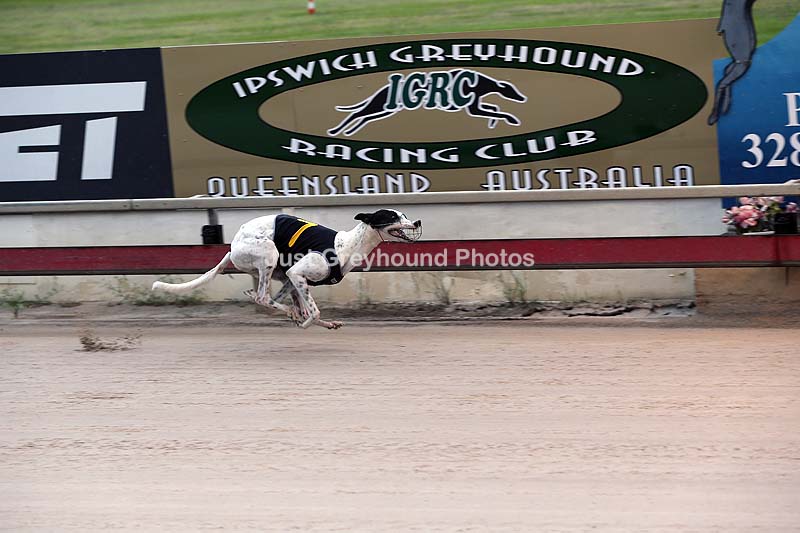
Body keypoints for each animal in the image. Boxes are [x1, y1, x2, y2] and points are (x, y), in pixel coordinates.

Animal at [152, 209, 422, 330]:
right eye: (393, 217)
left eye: (405, 214)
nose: (418, 221)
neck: (345, 245)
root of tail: (232, 247)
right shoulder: (297, 274)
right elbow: (314, 312)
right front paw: (305, 321)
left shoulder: (294, 279)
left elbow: (309, 310)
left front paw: (316, 321)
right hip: (269, 254)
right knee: (263, 297)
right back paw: (292, 313)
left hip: (276, 273)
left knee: (265, 297)